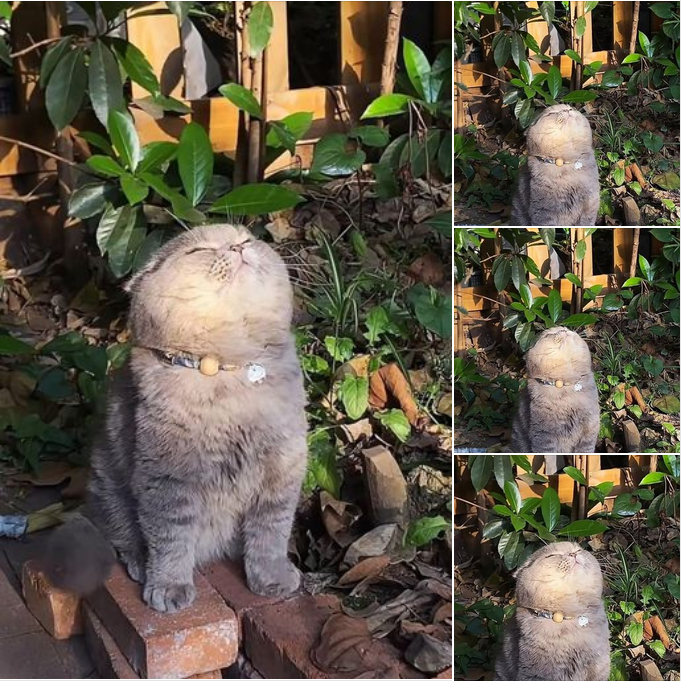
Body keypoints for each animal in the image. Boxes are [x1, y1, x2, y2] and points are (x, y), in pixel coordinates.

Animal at [45, 224, 306, 612]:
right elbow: (171, 539)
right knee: (125, 538)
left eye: (246, 239)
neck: (229, 370)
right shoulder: (169, 479)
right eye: (199, 250)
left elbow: (270, 535)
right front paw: (169, 588)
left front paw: (272, 580)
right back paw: (140, 565)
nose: (236, 247)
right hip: (110, 488)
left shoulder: (282, 471)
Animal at [510, 326, 600, 454]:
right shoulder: (544, 435)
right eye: (548, 335)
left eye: (565, 328)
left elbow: (584, 452)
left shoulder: (589, 431)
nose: (564, 330)